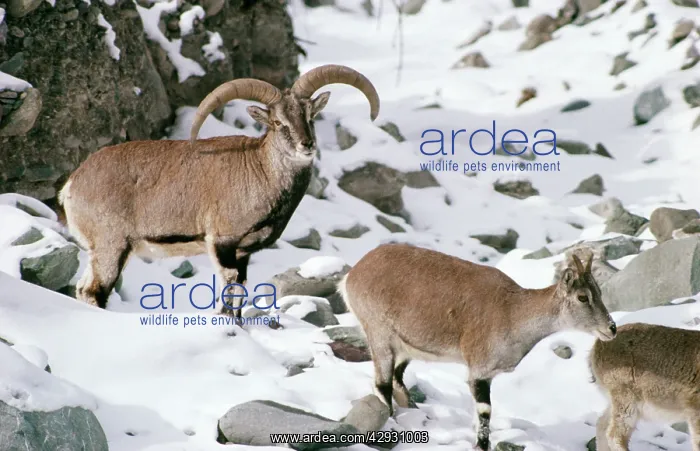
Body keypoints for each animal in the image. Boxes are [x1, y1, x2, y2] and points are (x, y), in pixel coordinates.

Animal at [59, 64, 380, 320]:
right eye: (278, 122)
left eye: (310, 115)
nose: (307, 145)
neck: (259, 170)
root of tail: (72, 184)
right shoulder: (222, 241)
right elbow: (229, 283)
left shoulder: (243, 251)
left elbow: (242, 287)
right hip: (112, 247)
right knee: (96, 291)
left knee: (83, 289)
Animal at [338, 243, 617, 451]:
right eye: (583, 297)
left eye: (600, 293)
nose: (611, 328)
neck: (513, 312)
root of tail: (353, 274)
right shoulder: (478, 370)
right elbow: (485, 413)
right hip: (379, 333)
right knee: (382, 383)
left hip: (405, 345)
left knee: (397, 377)